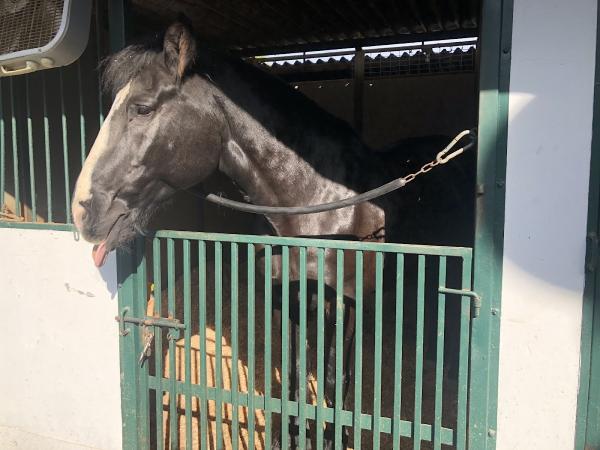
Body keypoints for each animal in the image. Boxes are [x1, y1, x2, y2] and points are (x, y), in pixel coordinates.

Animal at [70, 20, 474, 446]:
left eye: (142, 108)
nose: (83, 210)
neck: (321, 206)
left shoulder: (345, 303)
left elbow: (336, 378)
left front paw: (336, 438)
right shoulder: (286, 299)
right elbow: (295, 375)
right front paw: (291, 436)